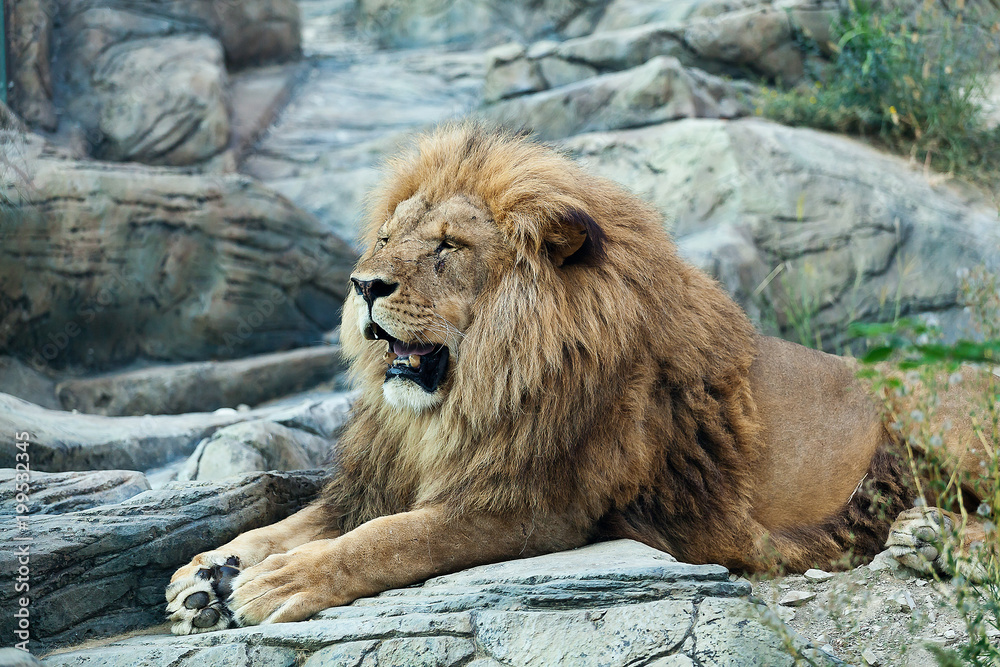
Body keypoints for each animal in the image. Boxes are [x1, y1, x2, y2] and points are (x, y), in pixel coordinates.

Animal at [166, 124, 996, 634]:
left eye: (446, 246)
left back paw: (925, 536)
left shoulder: (533, 505)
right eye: (386, 237)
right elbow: (297, 520)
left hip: (937, 420)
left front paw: (275, 584)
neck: (455, 402)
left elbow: (388, 539)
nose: (363, 284)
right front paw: (209, 569)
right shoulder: (384, 475)